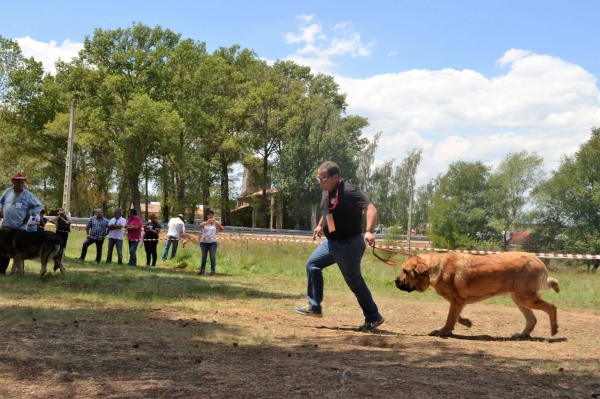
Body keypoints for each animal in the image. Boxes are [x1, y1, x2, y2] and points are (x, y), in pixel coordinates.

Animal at [396, 253, 560, 338]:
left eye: (405, 271)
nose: (395, 281)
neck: (435, 268)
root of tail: (539, 260)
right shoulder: (458, 302)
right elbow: (456, 317)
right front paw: (466, 322)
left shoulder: (457, 301)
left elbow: (450, 319)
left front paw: (441, 332)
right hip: (519, 298)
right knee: (532, 319)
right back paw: (522, 334)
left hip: (525, 297)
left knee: (551, 307)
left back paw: (554, 330)